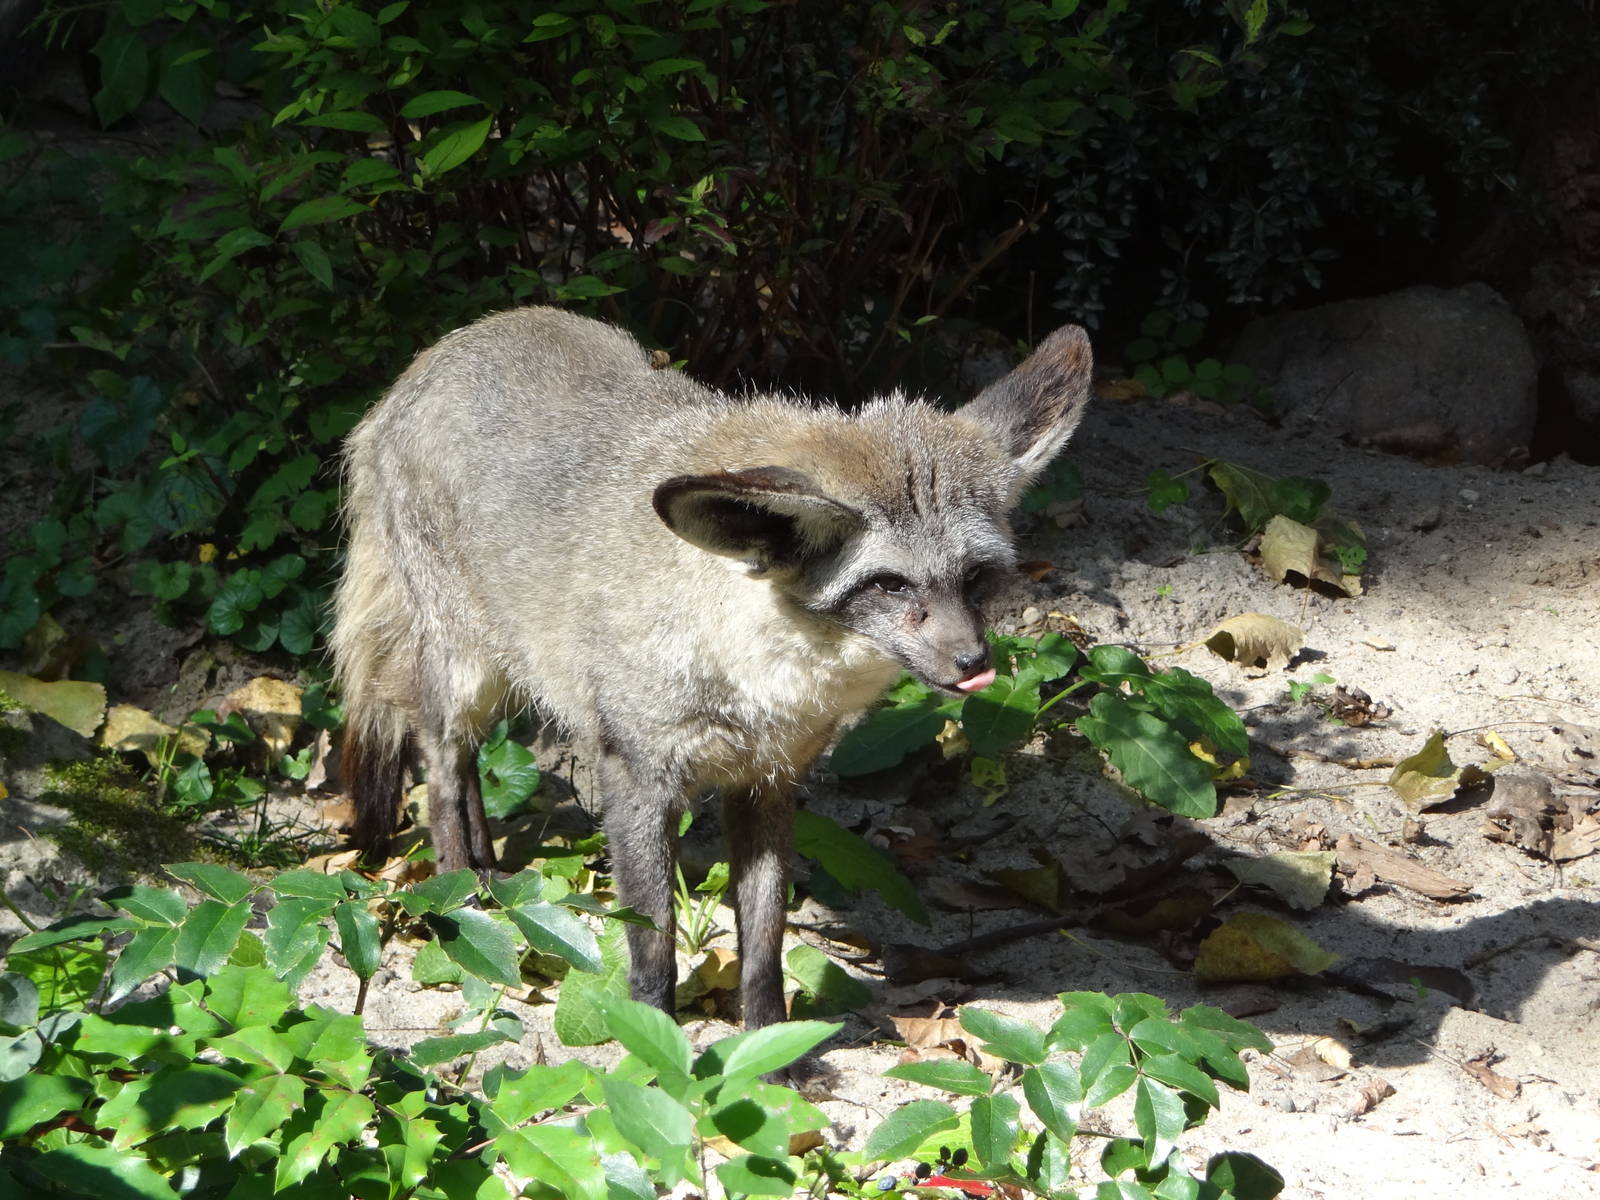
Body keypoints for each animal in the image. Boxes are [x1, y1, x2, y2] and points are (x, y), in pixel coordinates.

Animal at [331, 306, 1093, 1029]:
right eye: (890, 585)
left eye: (976, 578)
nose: (973, 663)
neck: (756, 683)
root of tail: (438, 354)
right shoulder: (638, 781)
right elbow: (654, 953)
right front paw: (657, 1051)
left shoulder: (768, 784)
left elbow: (763, 950)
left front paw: (770, 1053)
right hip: (466, 674)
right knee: (440, 770)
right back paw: (461, 892)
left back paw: (489, 873)